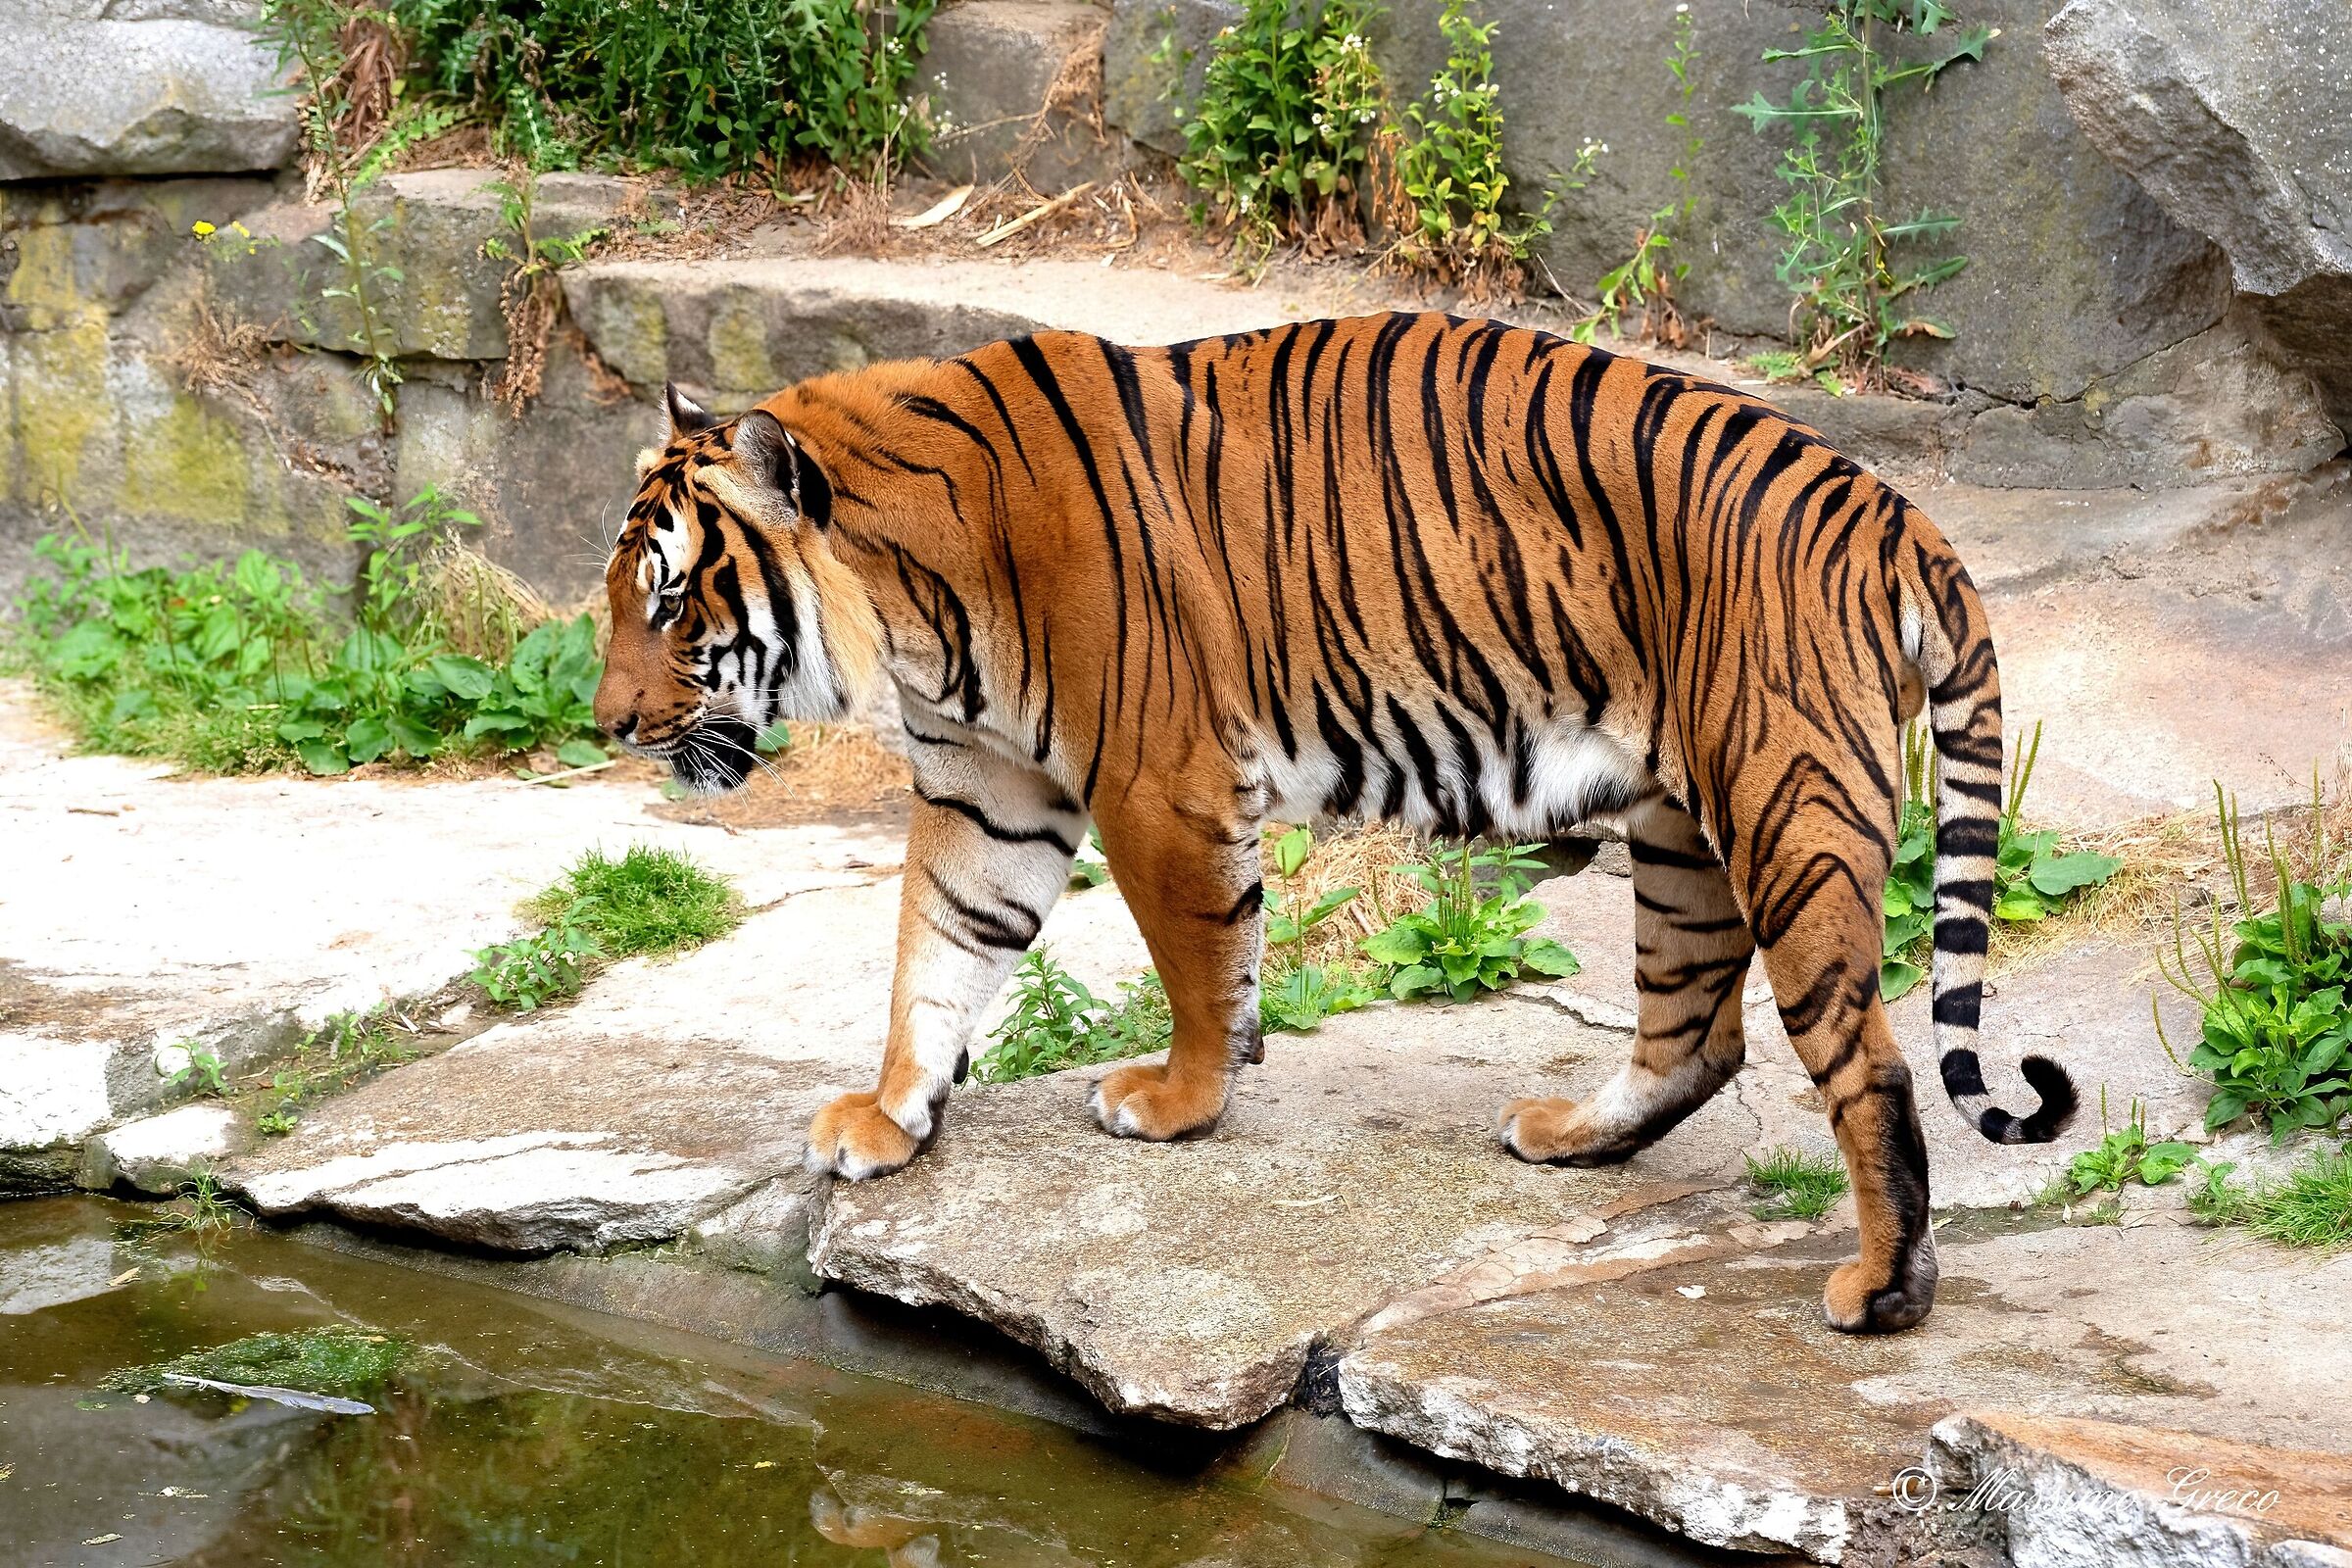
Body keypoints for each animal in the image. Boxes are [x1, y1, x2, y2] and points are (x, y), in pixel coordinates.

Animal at [592, 310, 2077, 1334]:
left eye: (668, 600)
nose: (607, 726)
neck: (908, 603)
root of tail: (1888, 511)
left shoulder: (1159, 779)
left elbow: (1198, 960)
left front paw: (1178, 1102)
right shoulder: (985, 786)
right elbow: (938, 950)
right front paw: (893, 1117)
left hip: (1783, 809)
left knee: (1867, 1063)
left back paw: (1883, 1291)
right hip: (1681, 826)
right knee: (1697, 1036)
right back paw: (1572, 1136)